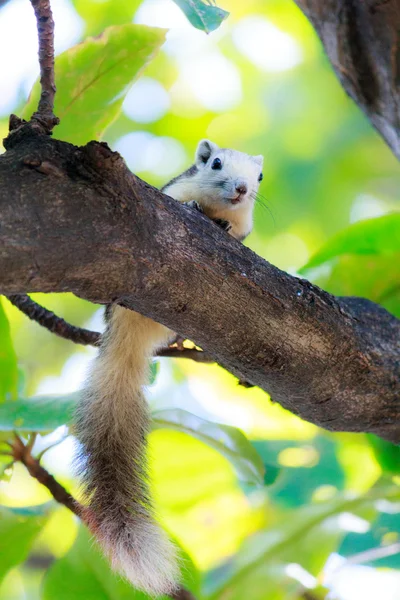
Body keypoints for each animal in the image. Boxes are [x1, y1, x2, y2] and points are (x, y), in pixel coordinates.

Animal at [74, 141, 264, 596]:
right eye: (215, 163)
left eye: (259, 178)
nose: (242, 187)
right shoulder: (173, 192)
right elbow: (186, 200)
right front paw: (196, 207)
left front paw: (225, 227)